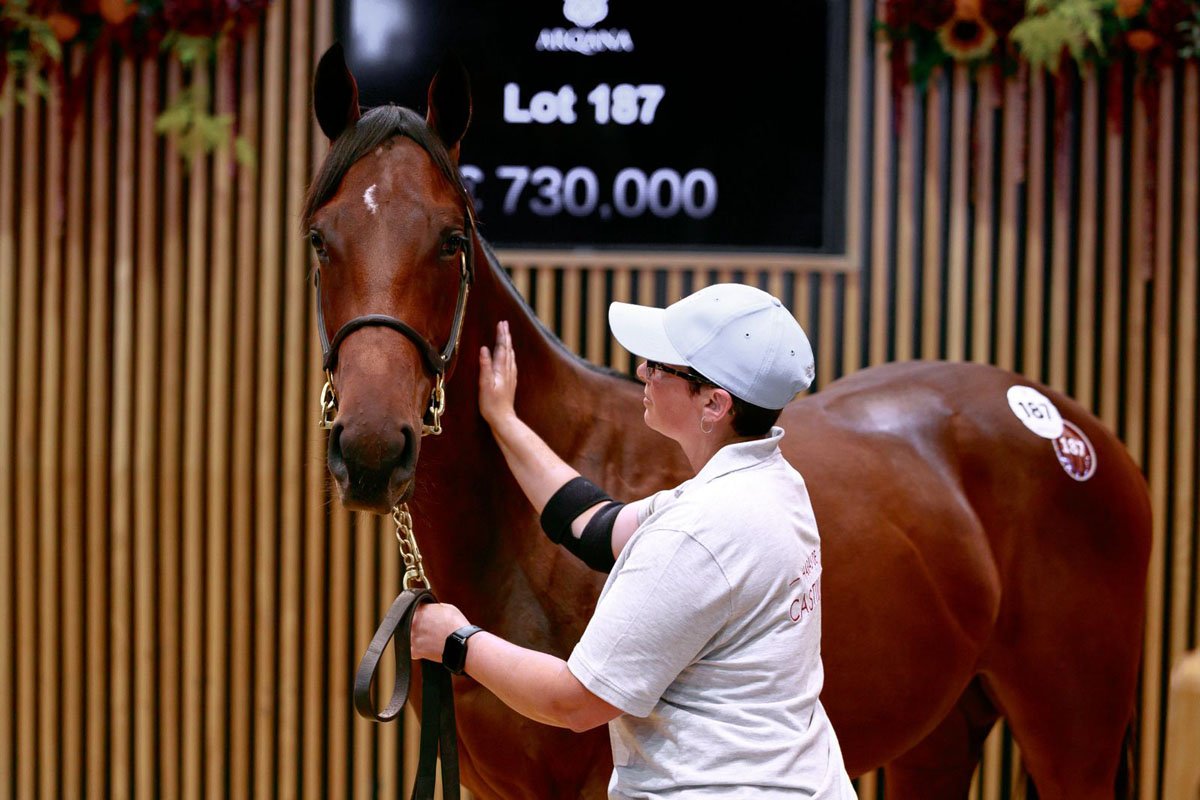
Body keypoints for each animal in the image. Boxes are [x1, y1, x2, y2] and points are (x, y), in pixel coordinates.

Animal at [303, 44, 1151, 799]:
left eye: (451, 239)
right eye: (319, 239)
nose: (371, 450)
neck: (513, 544)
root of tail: (1077, 432)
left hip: (1071, 737)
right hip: (939, 734)